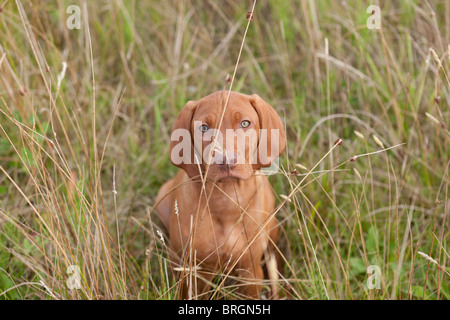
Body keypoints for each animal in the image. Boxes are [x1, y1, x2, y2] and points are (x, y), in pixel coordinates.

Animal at [156, 90, 286, 300]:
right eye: (204, 128)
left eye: (245, 123)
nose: (226, 160)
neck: (227, 199)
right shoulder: (195, 271)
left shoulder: (249, 271)